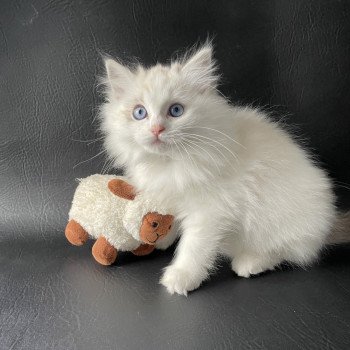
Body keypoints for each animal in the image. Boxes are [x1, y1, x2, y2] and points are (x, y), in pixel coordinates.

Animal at [98, 43, 350, 296]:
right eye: (140, 113)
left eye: (176, 110)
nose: (156, 130)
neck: (173, 162)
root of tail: (327, 226)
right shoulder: (175, 194)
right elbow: (174, 217)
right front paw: (162, 236)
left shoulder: (211, 211)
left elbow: (193, 247)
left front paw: (182, 276)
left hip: (277, 222)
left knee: (288, 251)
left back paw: (251, 262)